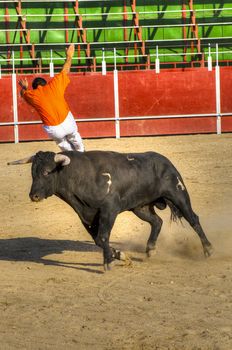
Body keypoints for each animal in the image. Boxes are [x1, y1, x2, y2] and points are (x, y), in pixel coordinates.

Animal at [8, 150, 213, 270]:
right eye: (33, 173)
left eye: (46, 172)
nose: (33, 196)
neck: (81, 175)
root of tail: (166, 161)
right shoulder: (87, 215)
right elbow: (99, 240)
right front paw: (120, 256)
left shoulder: (109, 210)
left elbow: (103, 237)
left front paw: (108, 262)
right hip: (140, 207)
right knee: (157, 222)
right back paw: (150, 250)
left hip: (179, 195)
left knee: (193, 219)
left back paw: (208, 250)